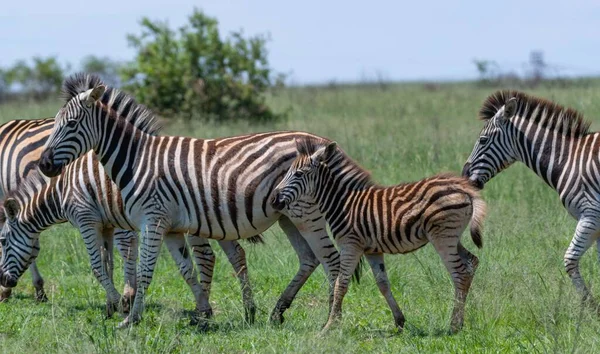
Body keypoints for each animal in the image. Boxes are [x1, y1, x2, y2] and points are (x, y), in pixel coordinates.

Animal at [0, 117, 260, 322]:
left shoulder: (87, 219)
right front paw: (112, 305)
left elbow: (96, 264)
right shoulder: (105, 223)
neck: (61, 189)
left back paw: (205, 309)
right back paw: (244, 309)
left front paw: (119, 303)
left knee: (205, 256)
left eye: (2, 241)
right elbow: (107, 262)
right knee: (235, 253)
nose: (3, 280)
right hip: (219, 220)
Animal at [36, 73, 346, 328]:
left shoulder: (152, 220)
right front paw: (202, 312)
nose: (43, 164)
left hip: (307, 213)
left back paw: (331, 320)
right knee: (309, 258)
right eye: (55, 124)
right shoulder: (171, 227)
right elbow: (186, 269)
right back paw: (278, 312)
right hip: (288, 216)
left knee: (331, 258)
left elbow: (145, 270)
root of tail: (325, 143)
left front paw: (131, 319)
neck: (137, 160)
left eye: (71, 125)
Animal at [272, 139, 488, 334]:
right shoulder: (372, 250)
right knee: (472, 262)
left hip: (443, 236)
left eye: (299, 174)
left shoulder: (350, 244)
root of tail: (464, 188)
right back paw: (460, 322)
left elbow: (341, 284)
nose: (274, 200)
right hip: (453, 237)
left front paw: (329, 326)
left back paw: (454, 326)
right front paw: (399, 321)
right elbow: (383, 283)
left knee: (460, 273)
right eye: (287, 172)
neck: (343, 203)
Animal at [464, 90, 600, 310]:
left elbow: (570, 259)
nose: (464, 176)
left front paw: (592, 307)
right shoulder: (597, 224)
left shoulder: (591, 215)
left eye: (483, 140)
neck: (569, 159)